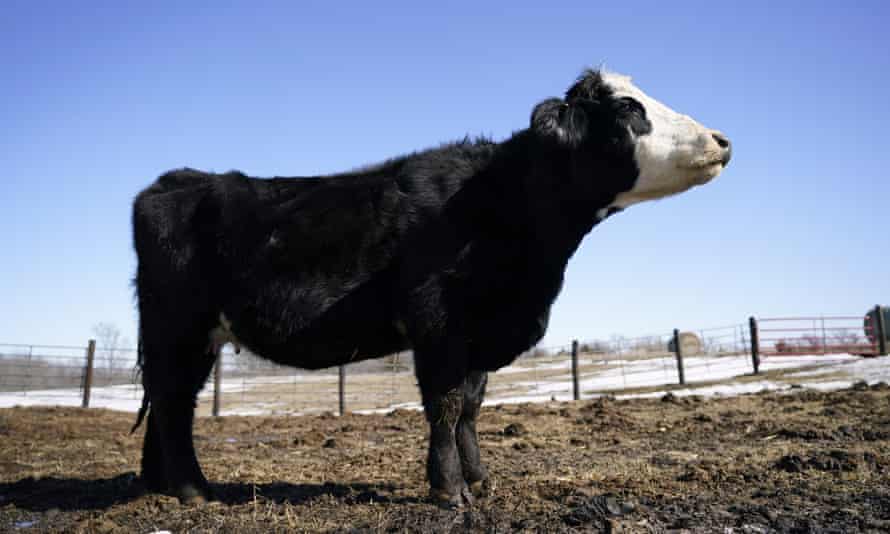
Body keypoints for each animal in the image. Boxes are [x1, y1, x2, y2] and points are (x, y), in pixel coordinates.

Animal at [131, 68, 731, 507]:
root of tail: (173, 181)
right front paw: (449, 491)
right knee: (173, 403)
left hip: (192, 336)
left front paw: (480, 479)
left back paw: (159, 484)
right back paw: (192, 490)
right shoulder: (437, 323)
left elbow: (471, 406)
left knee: (171, 401)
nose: (722, 140)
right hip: (177, 325)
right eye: (629, 109)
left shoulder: (480, 332)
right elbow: (444, 405)